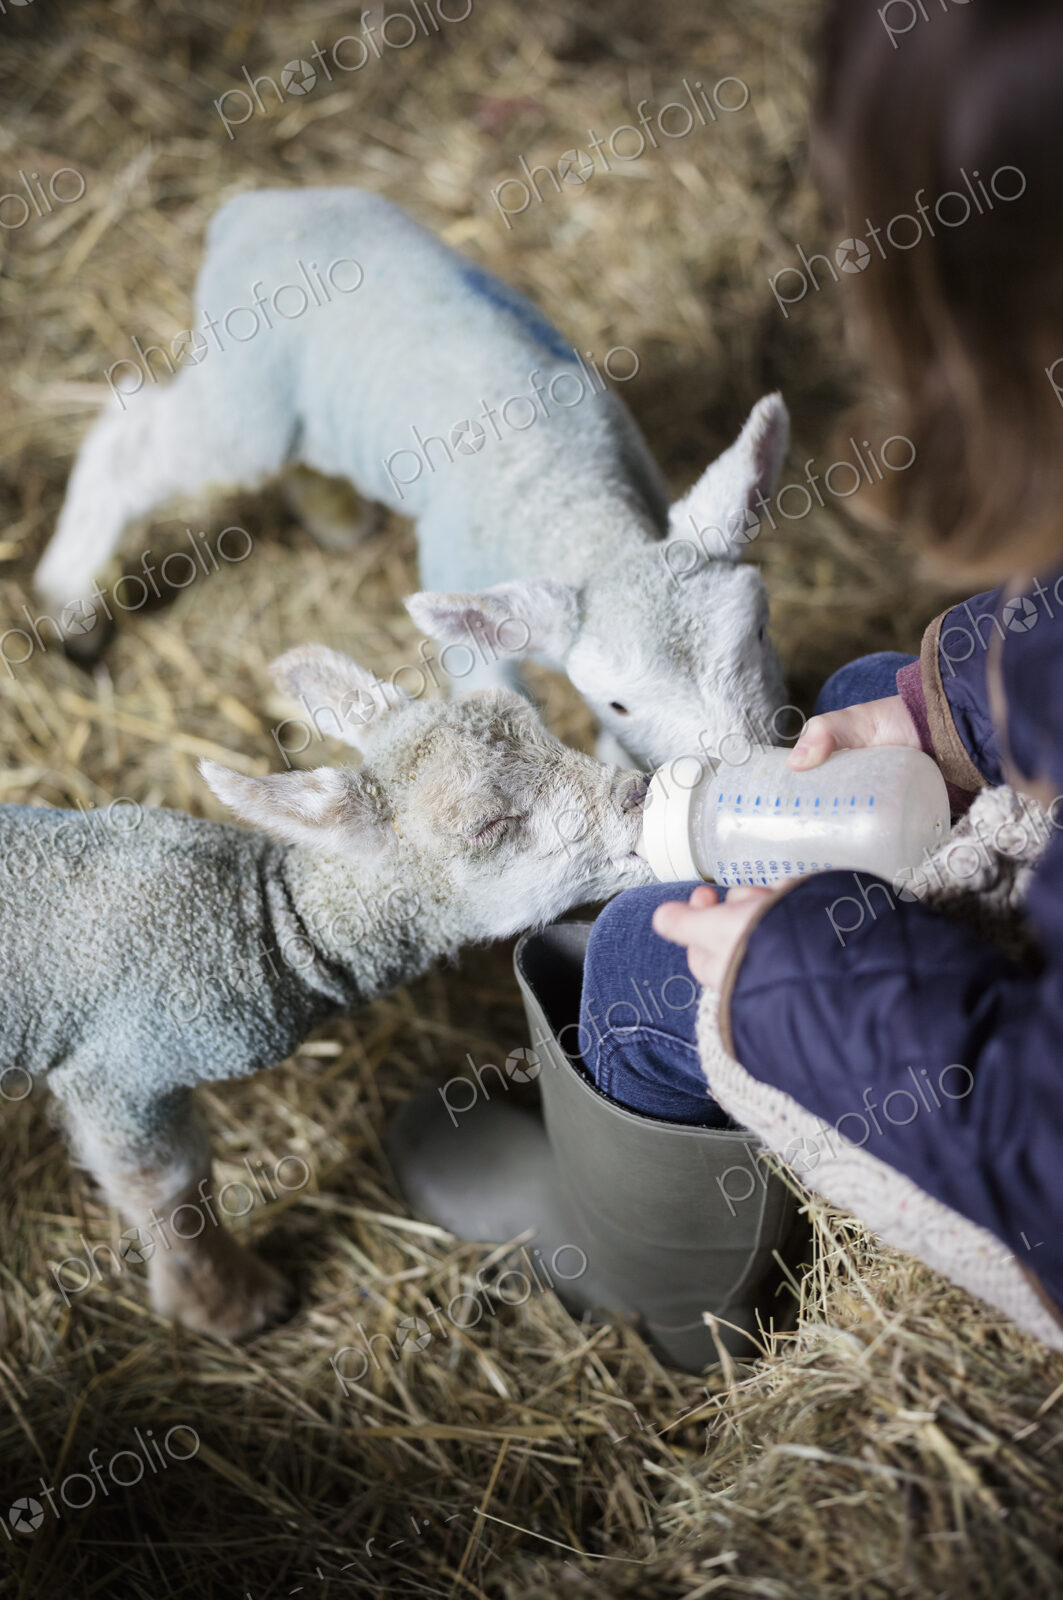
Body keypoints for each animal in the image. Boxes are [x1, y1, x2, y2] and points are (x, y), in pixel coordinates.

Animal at [1, 644, 650, 1339]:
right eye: (487, 825)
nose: (639, 793)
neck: (264, 928)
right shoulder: (118, 1073)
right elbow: (169, 1186)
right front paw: (226, 1304)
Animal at [33, 187, 789, 770]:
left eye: (759, 632)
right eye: (618, 702)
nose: (751, 762)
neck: (570, 506)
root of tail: (248, 208)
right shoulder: (469, 613)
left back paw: (335, 516)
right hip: (244, 405)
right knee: (127, 440)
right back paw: (68, 602)